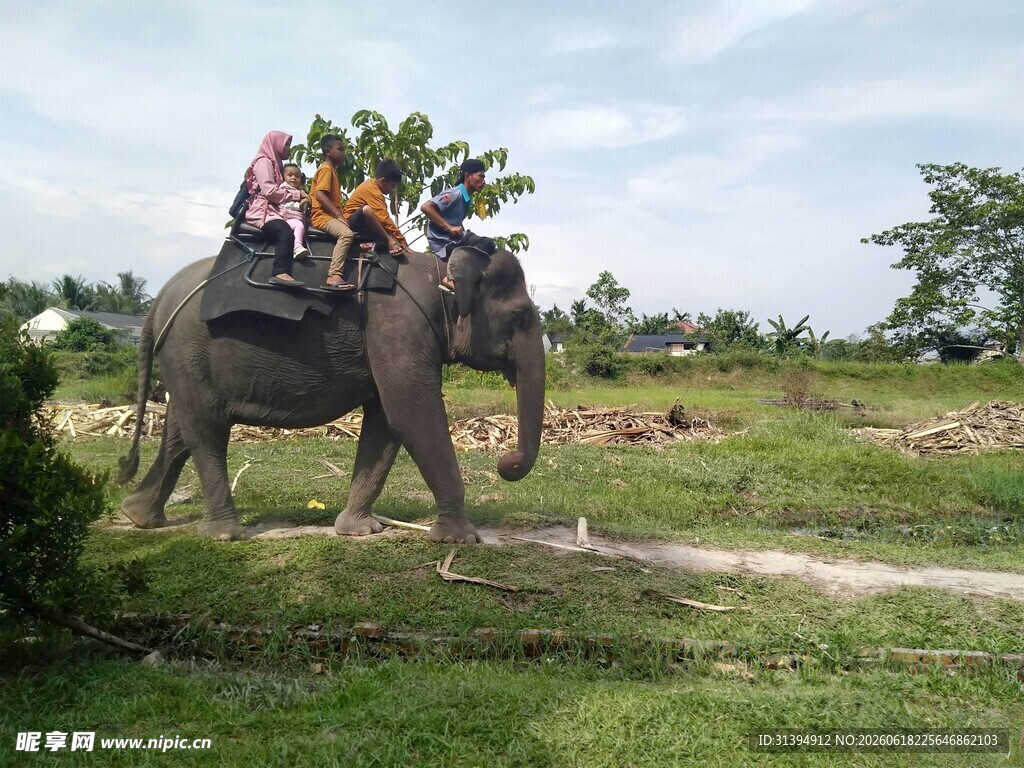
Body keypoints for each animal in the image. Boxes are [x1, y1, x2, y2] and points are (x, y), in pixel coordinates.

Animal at [117, 246, 545, 544]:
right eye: (519, 317)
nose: (506, 462)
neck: (441, 268)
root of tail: (158, 299)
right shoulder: (399, 326)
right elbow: (412, 413)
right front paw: (460, 539)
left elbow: (385, 422)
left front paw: (359, 530)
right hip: (188, 351)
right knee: (207, 431)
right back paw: (224, 534)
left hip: (183, 361)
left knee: (180, 430)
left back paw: (138, 516)